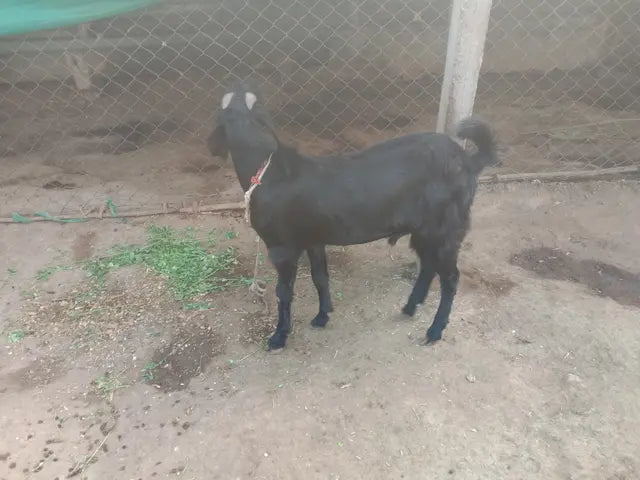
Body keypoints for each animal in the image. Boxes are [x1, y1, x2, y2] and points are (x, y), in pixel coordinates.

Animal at [207, 84, 497, 351]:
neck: (269, 172)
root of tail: (468, 161)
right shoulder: (313, 239)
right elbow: (320, 276)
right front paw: (322, 315)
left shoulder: (282, 247)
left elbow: (284, 292)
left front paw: (279, 337)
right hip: (424, 230)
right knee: (428, 265)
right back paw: (410, 306)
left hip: (445, 227)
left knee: (450, 278)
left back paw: (434, 330)